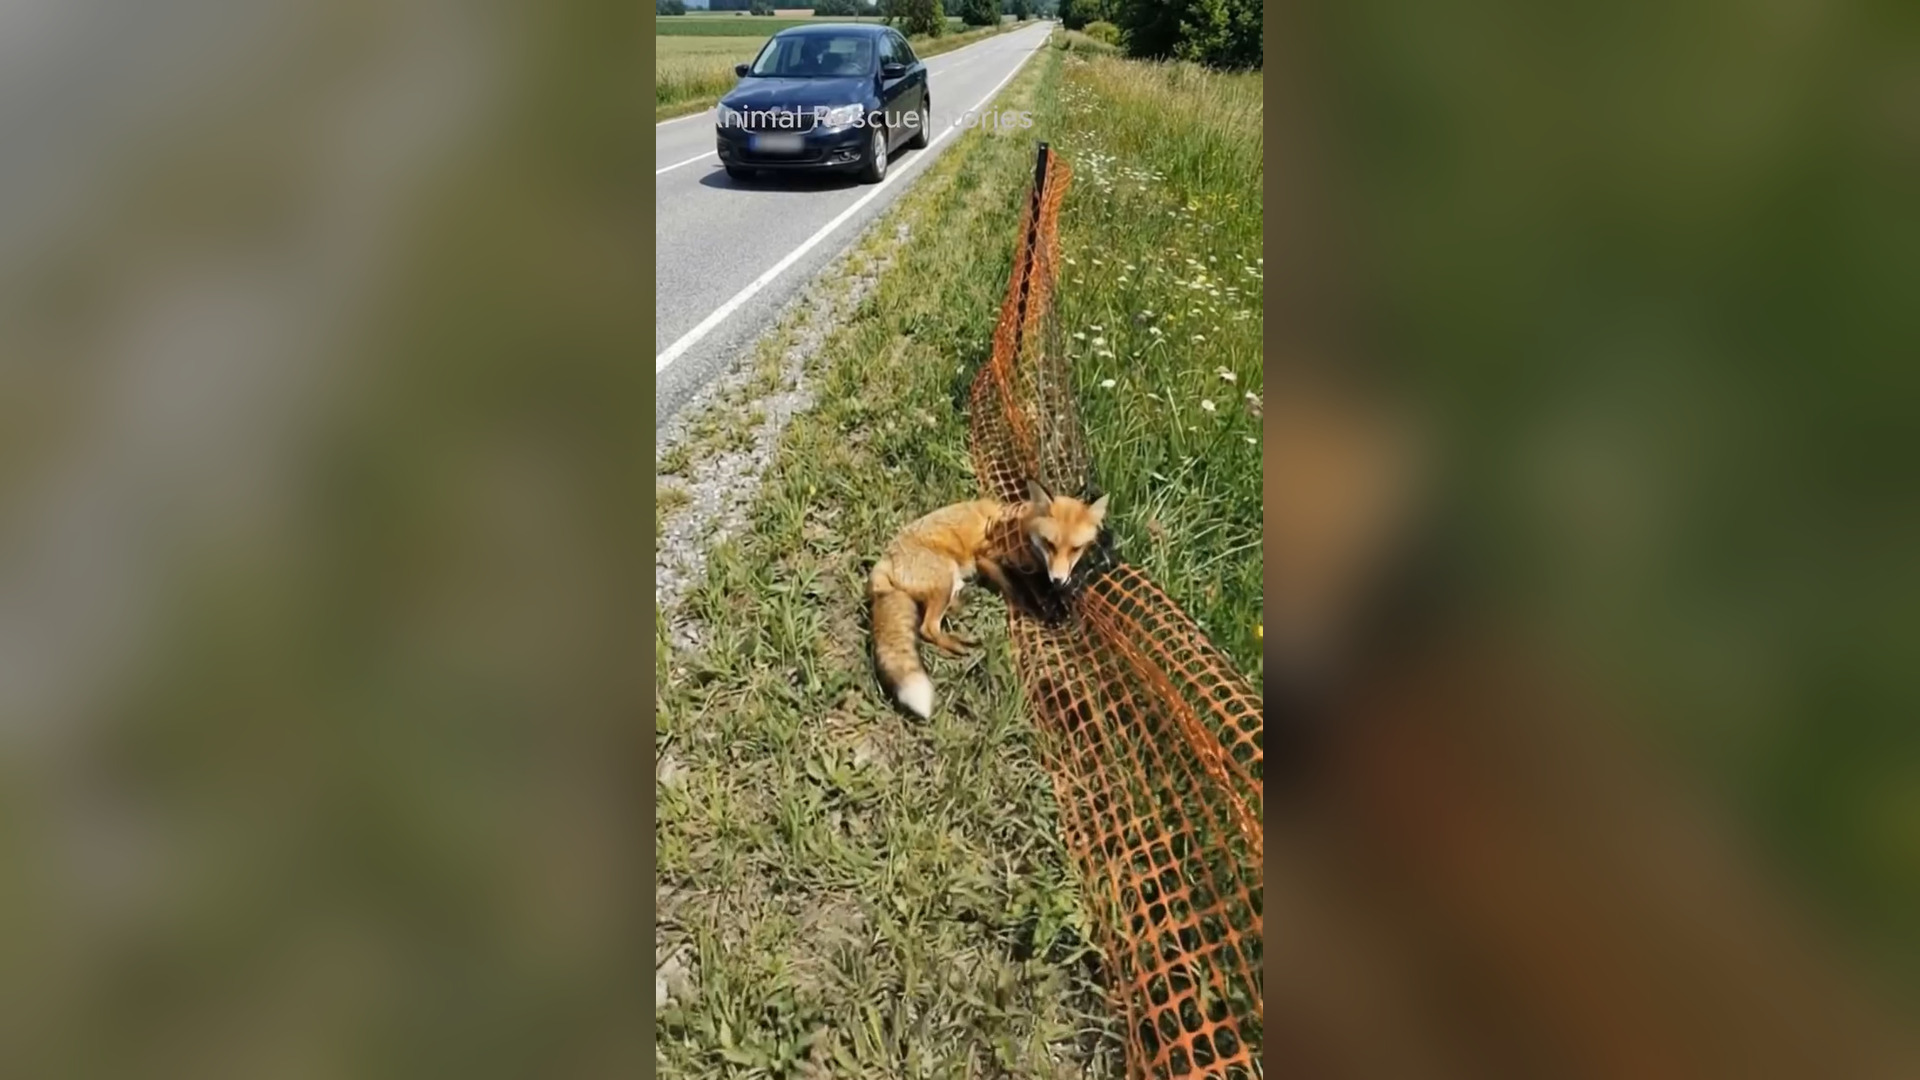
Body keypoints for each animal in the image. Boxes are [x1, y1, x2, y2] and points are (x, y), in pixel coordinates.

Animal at [869, 480, 1109, 718]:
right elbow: (1016, 589)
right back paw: (959, 646)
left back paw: (964, 627)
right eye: (1050, 544)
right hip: (945, 581)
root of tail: (884, 561)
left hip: (951, 583)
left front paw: (1059, 608)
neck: (1022, 532)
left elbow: (1040, 587)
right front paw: (1039, 611)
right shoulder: (987, 558)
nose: (1059, 579)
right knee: (927, 628)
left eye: (1075, 549)